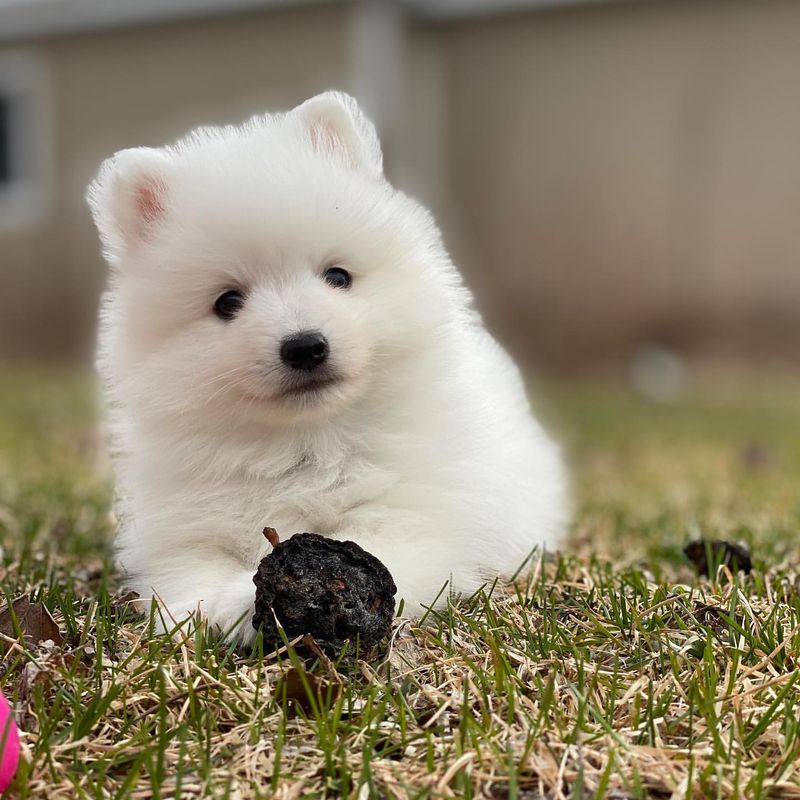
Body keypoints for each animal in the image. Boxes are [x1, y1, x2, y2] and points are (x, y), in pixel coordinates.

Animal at [87, 92, 568, 644]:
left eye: (337, 276)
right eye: (227, 303)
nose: (304, 346)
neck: (304, 444)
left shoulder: (409, 518)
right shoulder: (185, 529)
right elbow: (192, 571)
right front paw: (219, 608)